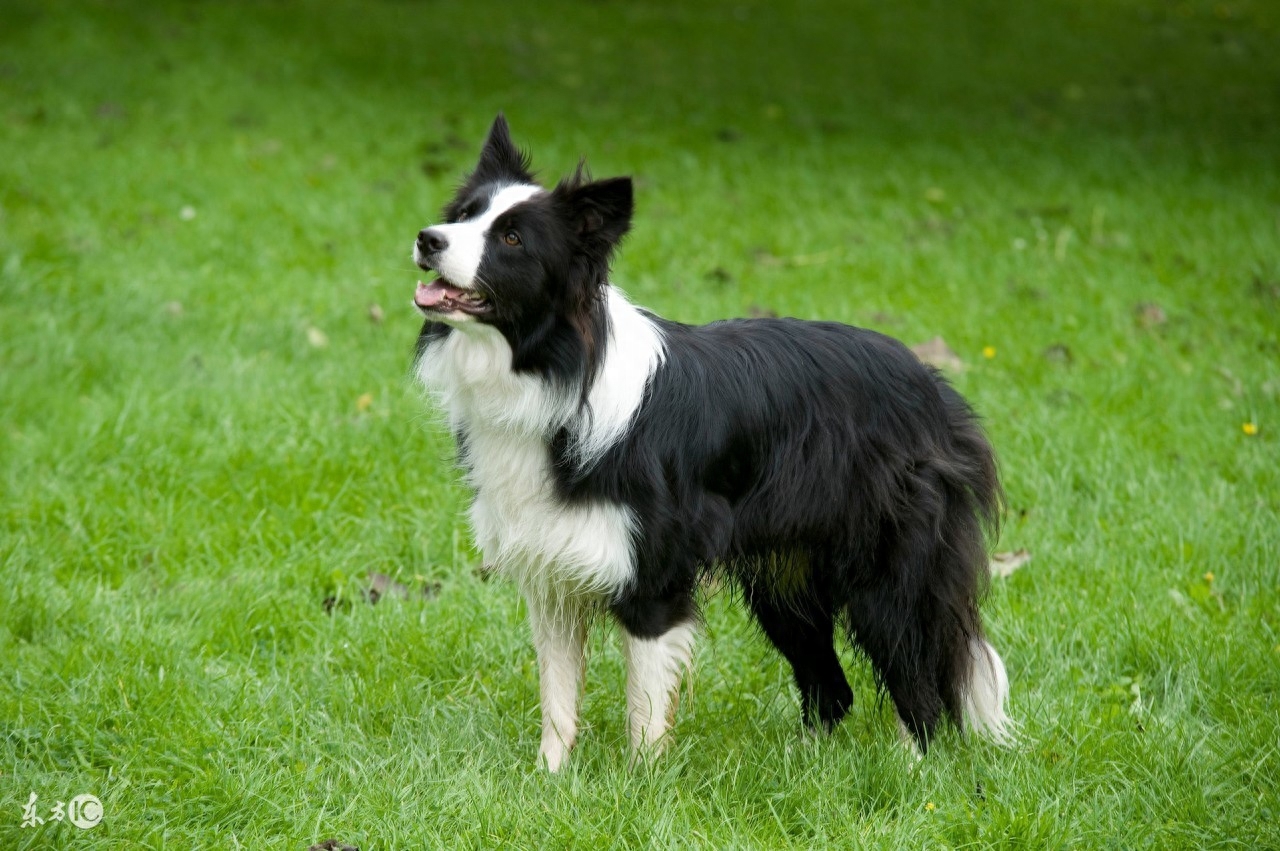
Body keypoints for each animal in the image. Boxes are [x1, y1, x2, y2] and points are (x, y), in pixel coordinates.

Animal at [414, 114, 1013, 767]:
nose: (427, 238)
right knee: (832, 688)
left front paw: (640, 784)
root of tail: (936, 388)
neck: (557, 367)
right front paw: (550, 777)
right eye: (464, 214)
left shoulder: (654, 576)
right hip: (786, 581)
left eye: (513, 239)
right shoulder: (554, 574)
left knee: (919, 681)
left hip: (889, 570)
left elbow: (644, 709)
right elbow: (558, 697)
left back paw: (912, 771)